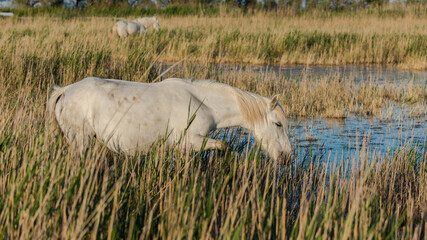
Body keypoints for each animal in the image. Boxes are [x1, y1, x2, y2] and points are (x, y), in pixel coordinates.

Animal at [48, 78, 292, 161]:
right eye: (278, 124)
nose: (287, 157)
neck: (203, 103)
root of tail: (64, 90)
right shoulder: (189, 141)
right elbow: (225, 146)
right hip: (80, 141)